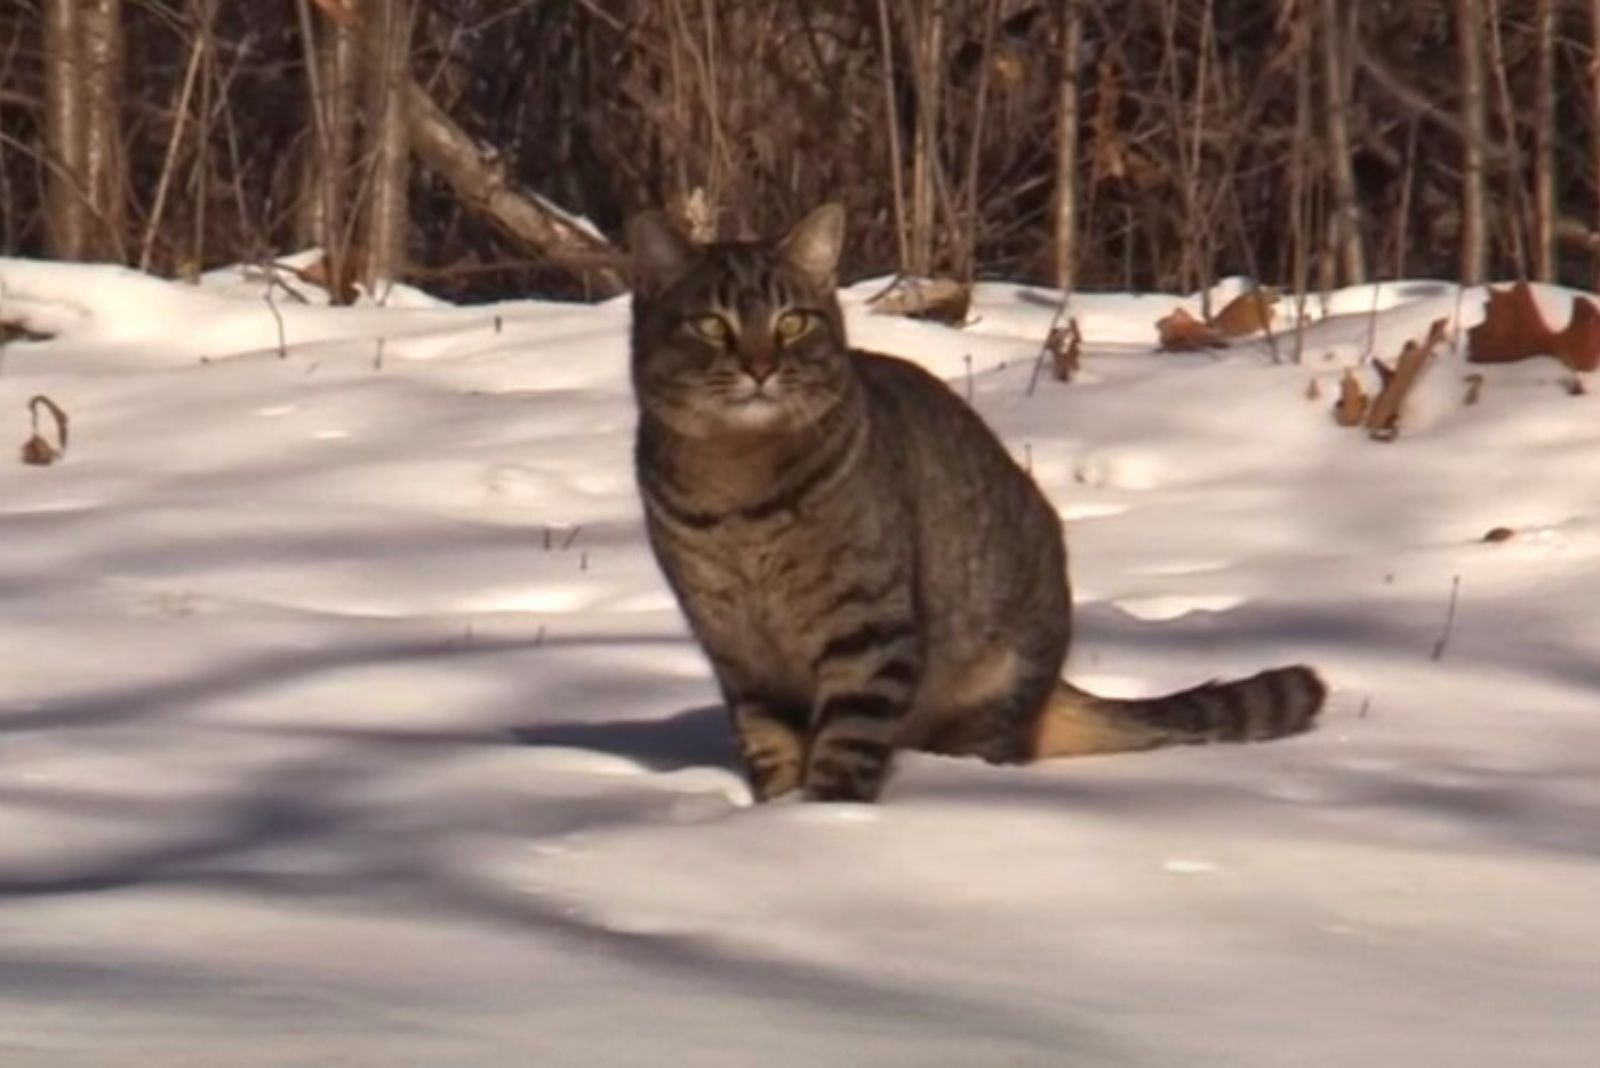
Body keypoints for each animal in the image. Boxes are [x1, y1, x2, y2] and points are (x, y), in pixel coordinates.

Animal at [624, 204, 1324, 799]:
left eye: (791, 321)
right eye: (712, 324)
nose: (761, 367)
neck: (738, 490)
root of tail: (1052, 684)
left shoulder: (867, 631)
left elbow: (844, 751)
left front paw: (822, 817)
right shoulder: (738, 654)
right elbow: (771, 751)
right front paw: (777, 814)